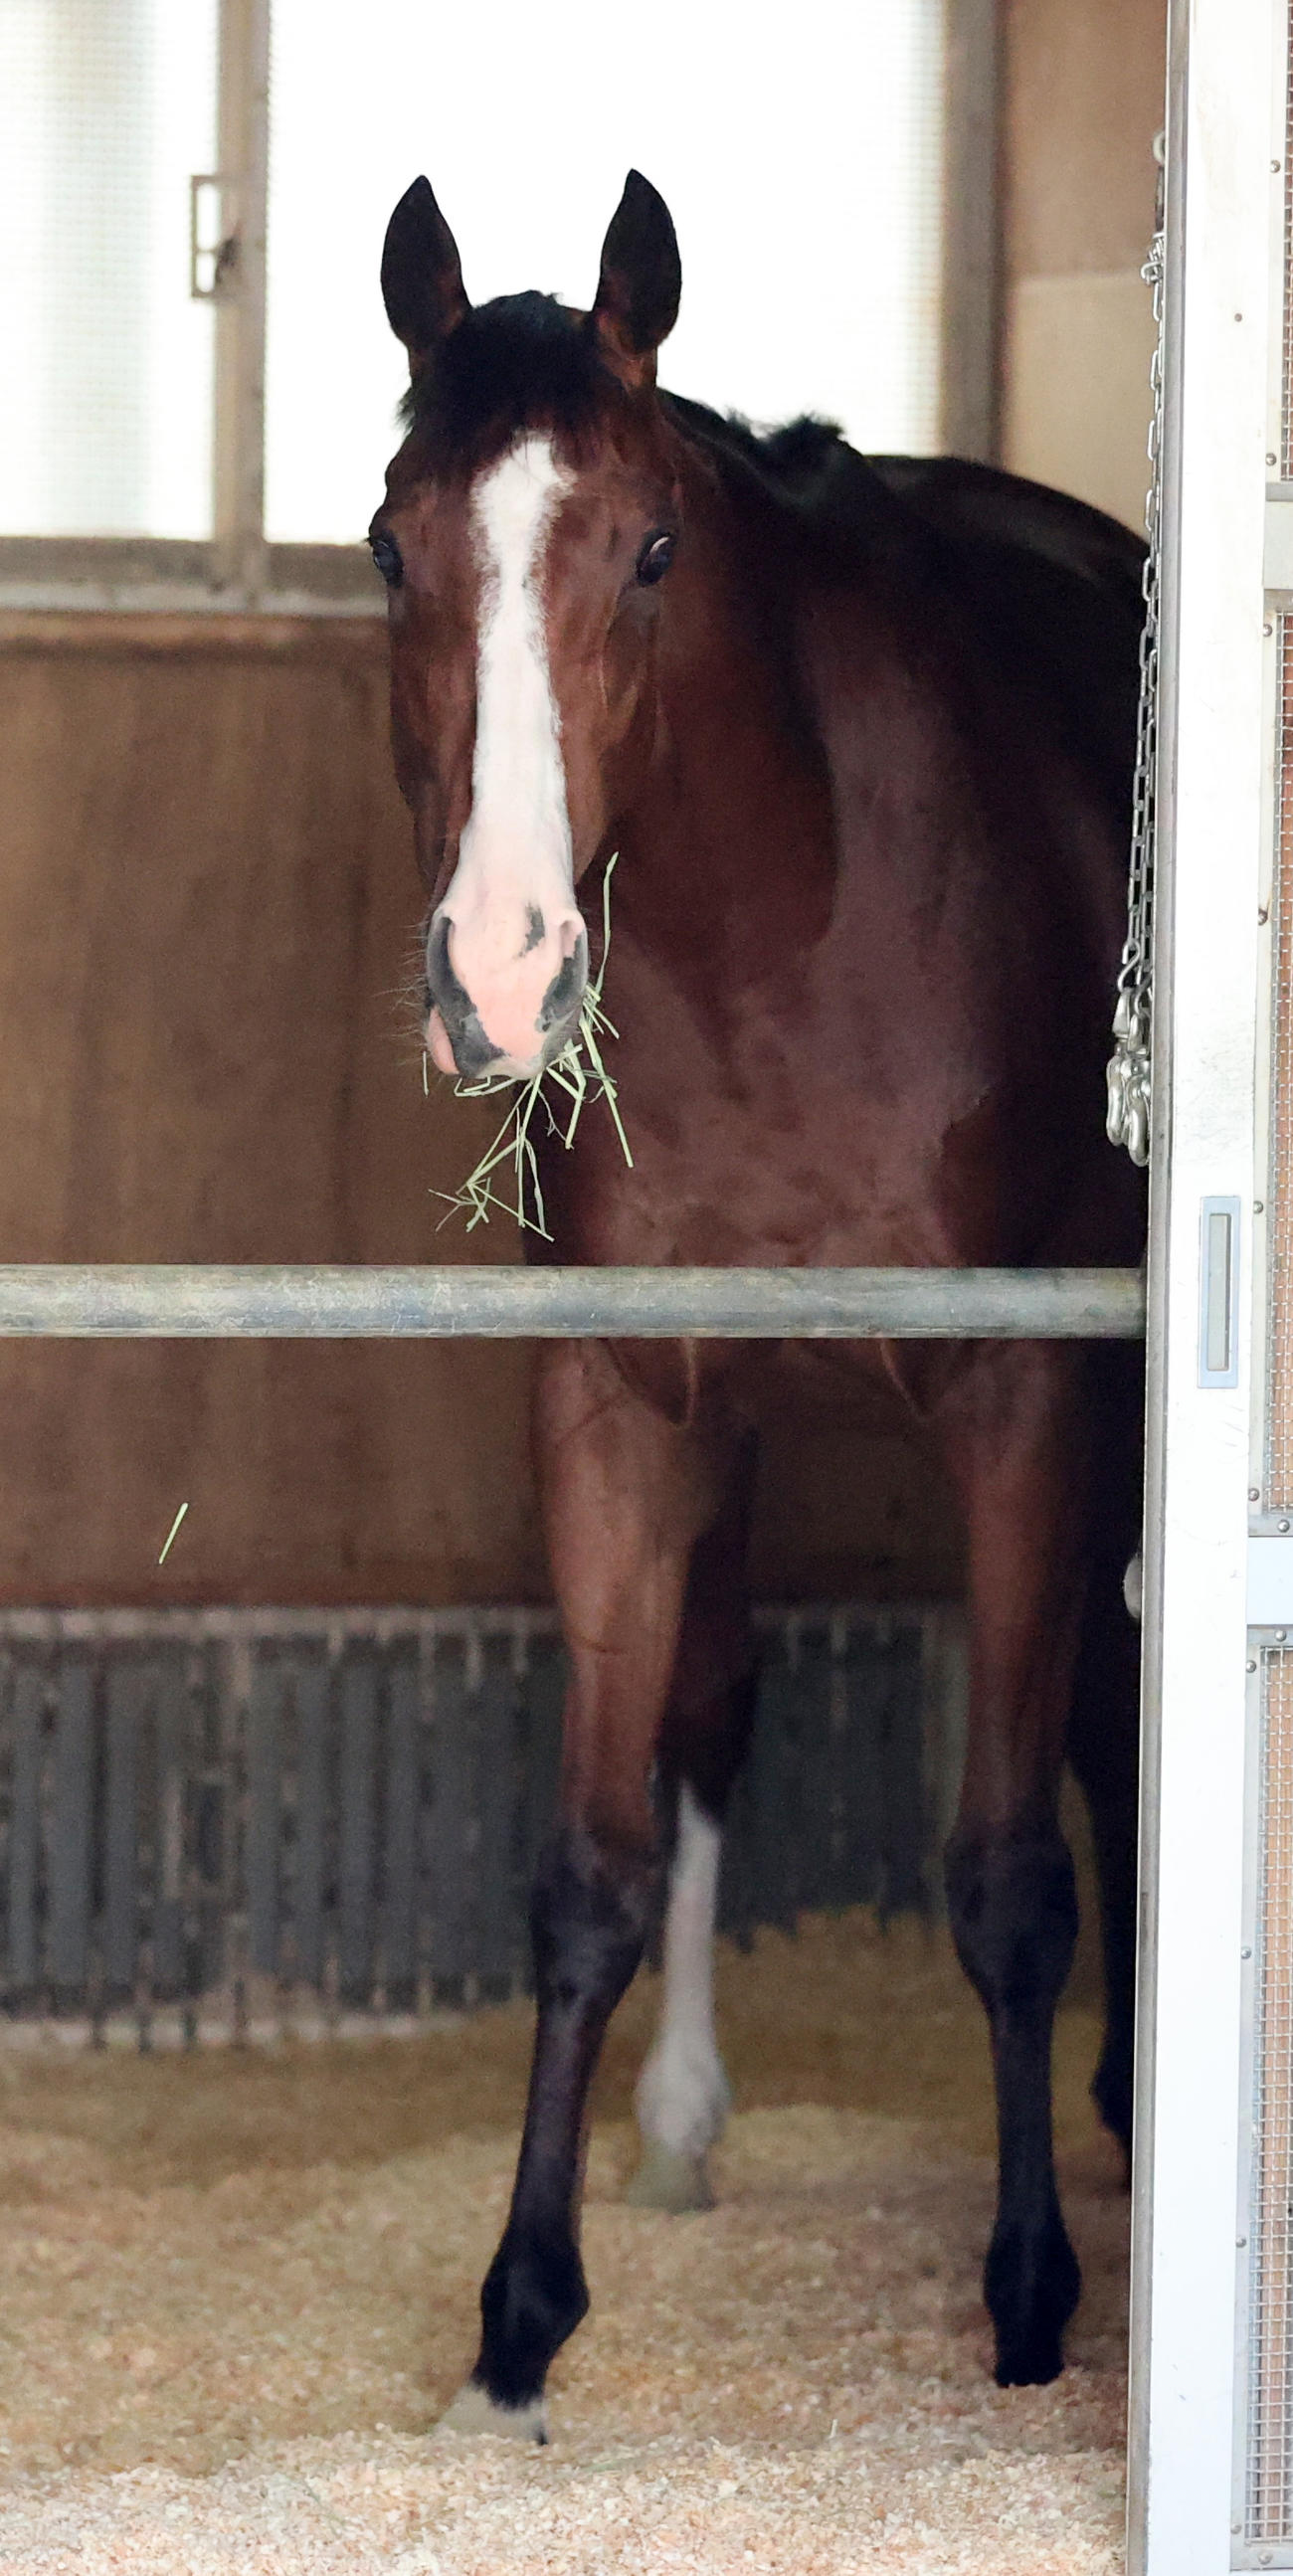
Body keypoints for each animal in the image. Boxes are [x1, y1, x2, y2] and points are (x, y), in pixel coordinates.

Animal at [371, 168, 1147, 2438]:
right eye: (388, 545)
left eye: (649, 546)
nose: (503, 973)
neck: (796, 921)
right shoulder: (625, 1401)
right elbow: (595, 1862)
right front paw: (521, 2313)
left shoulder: (1023, 1403)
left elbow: (1004, 1876)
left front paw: (1030, 2303)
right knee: (726, 1709)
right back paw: (688, 2128)